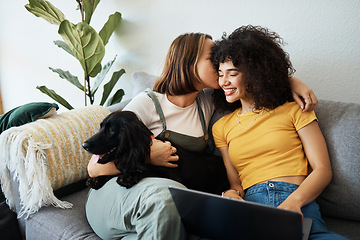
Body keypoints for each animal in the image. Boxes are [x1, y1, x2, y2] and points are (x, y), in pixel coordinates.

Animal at [82, 110, 228, 195]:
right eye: (101, 127)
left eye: (111, 131)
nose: (84, 145)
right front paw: (97, 179)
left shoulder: (176, 180)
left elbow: (147, 170)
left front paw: (129, 177)